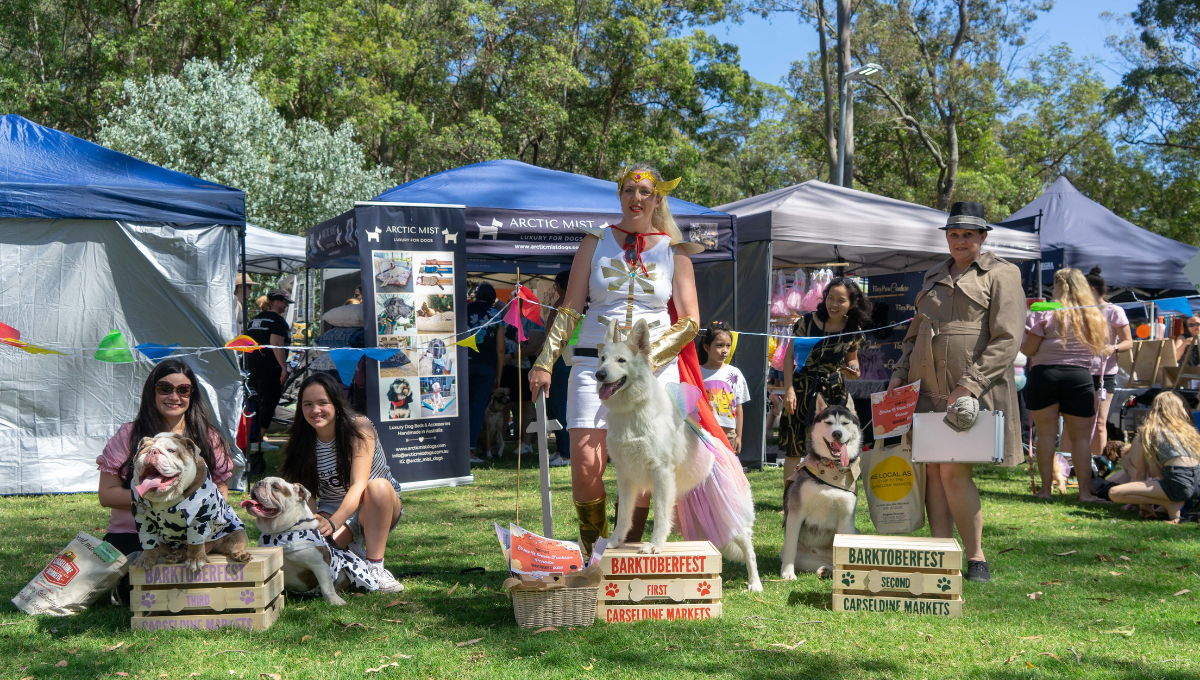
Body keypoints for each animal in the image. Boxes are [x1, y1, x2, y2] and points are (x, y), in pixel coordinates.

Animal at [597, 319, 763, 590]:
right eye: (602, 359)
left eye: (621, 361)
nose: (599, 375)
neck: (632, 410)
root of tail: (725, 448)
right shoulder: (625, 476)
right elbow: (623, 515)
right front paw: (613, 541)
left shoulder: (660, 473)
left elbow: (661, 514)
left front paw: (654, 546)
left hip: (731, 514)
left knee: (749, 547)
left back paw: (755, 584)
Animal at [777, 395, 864, 582]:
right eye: (829, 422)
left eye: (845, 423)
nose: (837, 433)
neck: (831, 471)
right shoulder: (796, 513)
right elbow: (790, 548)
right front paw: (787, 573)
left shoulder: (846, 518)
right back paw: (824, 570)